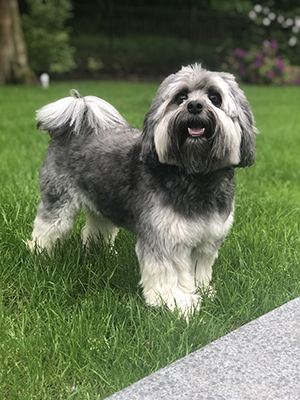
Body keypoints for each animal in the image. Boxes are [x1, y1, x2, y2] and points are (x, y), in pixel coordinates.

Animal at [28, 64, 256, 318]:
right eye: (181, 97)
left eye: (215, 98)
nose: (195, 106)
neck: (195, 175)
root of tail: (74, 126)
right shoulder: (166, 240)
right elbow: (171, 273)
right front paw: (177, 303)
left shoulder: (207, 240)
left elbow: (200, 270)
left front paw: (203, 293)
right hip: (59, 201)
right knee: (48, 229)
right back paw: (40, 254)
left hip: (103, 202)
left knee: (97, 228)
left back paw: (100, 252)